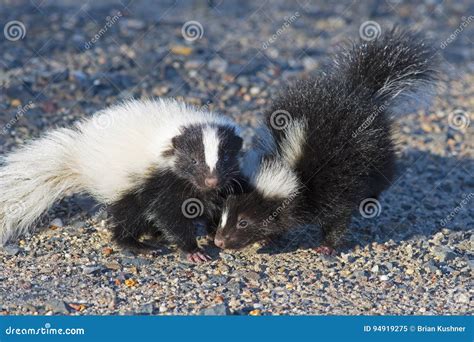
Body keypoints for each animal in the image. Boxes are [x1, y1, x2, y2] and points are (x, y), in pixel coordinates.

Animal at [0, 97, 243, 264]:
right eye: (193, 160)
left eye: (226, 158)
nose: (211, 181)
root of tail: (79, 158)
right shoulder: (160, 179)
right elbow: (169, 214)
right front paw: (193, 250)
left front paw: (216, 231)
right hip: (125, 187)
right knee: (127, 218)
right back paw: (139, 245)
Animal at [213, 28, 438, 251]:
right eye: (223, 215)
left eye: (243, 222)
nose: (219, 241)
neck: (289, 165)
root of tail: (361, 89)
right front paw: (270, 238)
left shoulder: (331, 185)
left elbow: (338, 217)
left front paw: (327, 246)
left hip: (374, 152)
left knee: (382, 175)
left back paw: (371, 199)